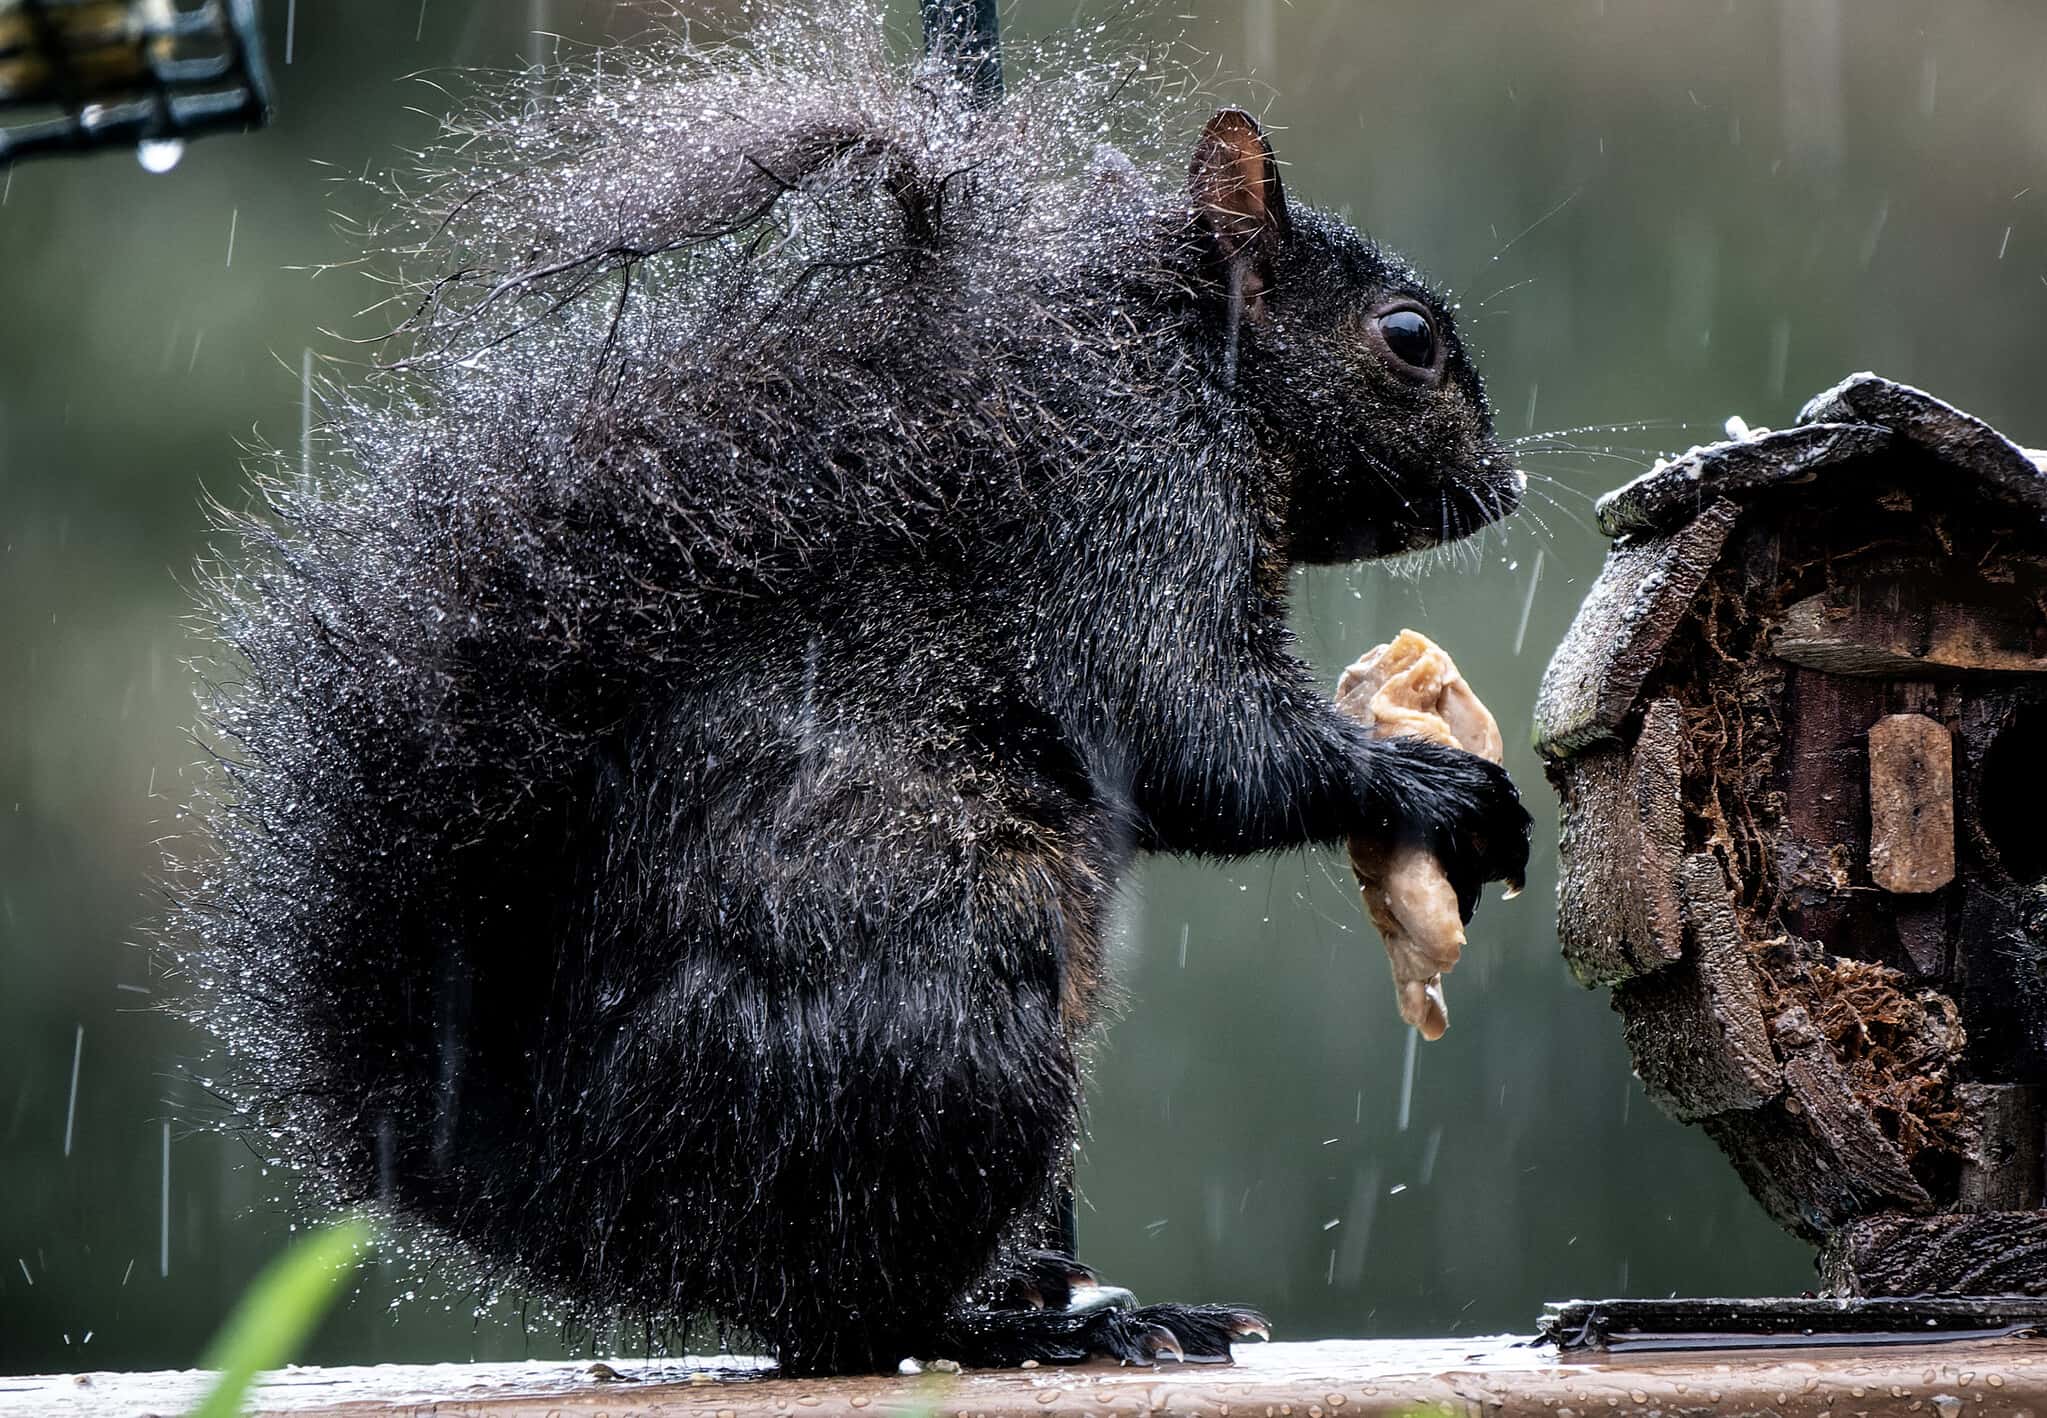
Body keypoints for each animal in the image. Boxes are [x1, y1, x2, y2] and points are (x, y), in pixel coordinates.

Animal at [170, 4, 1531, 1377]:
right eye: (1407, 338)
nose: (1508, 485)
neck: (1185, 365)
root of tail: (566, 1194)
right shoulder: (1134, 510)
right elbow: (1202, 736)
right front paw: (1445, 789)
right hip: (951, 1018)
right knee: (848, 1316)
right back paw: (1055, 1325)